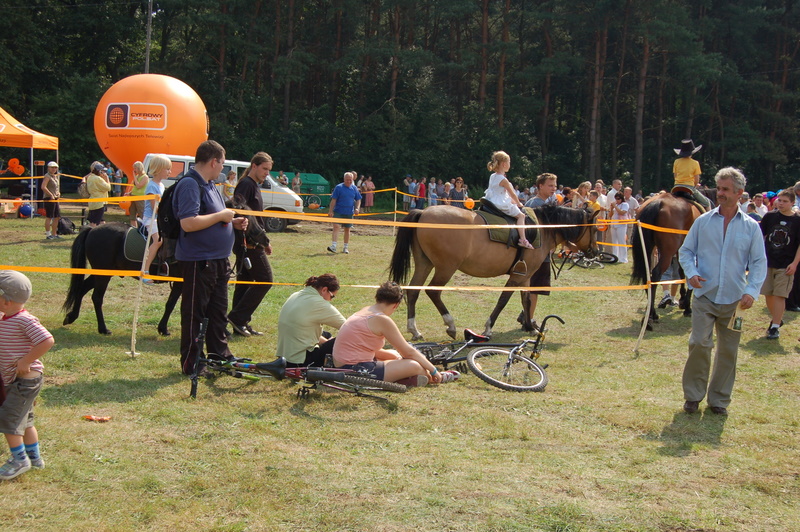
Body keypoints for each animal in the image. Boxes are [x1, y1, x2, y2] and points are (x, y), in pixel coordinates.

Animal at [62, 204, 269, 335]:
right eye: (248, 220)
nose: (266, 240)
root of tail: (93, 229)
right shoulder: (183, 283)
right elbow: (171, 305)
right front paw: (163, 328)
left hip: (103, 272)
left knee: (81, 289)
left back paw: (71, 317)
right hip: (103, 274)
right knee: (96, 298)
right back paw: (103, 328)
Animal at [389, 204, 599, 340]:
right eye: (595, 229)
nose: (595, 252)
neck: (542, 227)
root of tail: (424, 212)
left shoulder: (525, 276)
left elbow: (526, 300)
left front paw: (530, 327)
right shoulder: (517, 276)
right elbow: (503, 301)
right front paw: (489, 327)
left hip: (425, 264)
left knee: (413, 291)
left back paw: (414, 330)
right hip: (445, 268)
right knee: (433, 291)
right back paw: (450, 325)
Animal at [630, 189, 716, 330]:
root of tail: (658, 202)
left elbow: (682, 272)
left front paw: (683, 300)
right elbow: (692, 276)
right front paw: (687, 306)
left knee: (648, 276)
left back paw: (652, 314)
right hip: (667, 253)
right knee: (656, 274)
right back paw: (649, 319)